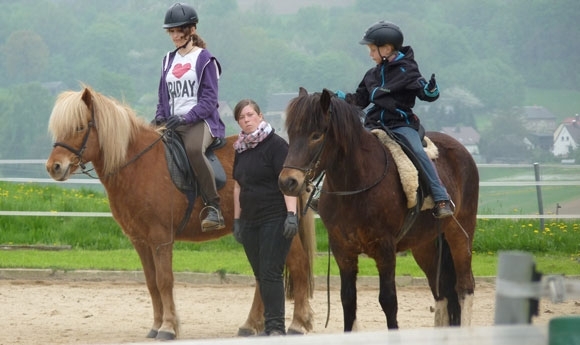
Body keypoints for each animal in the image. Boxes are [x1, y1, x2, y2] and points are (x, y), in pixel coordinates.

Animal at [45, 86, 318, 338]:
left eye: (80, 127)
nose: (53, 167)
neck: (138, 165)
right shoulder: (140, 240)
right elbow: (151, 282)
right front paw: (156, 326)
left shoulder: (161, 237)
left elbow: (165, 281)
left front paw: (167, 327)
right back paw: (251, 325)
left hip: (281, 229)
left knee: (298, 265)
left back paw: (297, 323)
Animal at [278, 88, 478, 330]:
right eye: (291, 133)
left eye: (316, 135)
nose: (288, 182)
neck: (356, 186)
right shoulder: (343, 250)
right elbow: (348, 300)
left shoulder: (385, 249)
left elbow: (388, 301)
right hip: (425, 245)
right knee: (442, 292)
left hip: (460, 234)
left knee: (464, 286)